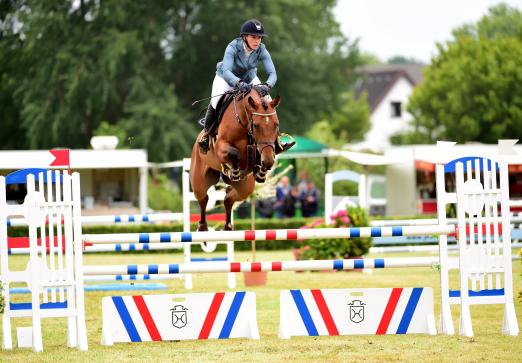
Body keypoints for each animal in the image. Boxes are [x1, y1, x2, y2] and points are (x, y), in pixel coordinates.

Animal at [190, 86, 280, 232]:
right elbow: (234, 153)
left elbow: (259, 154)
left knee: (229, 198)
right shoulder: (221, 147)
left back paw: (227, 226)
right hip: (199, 181)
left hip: (245, 187)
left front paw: (261, 172)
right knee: (203, 198)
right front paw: (235, 171)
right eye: (256, 125)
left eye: (276, 124)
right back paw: (202, 226)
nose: (268, 162)